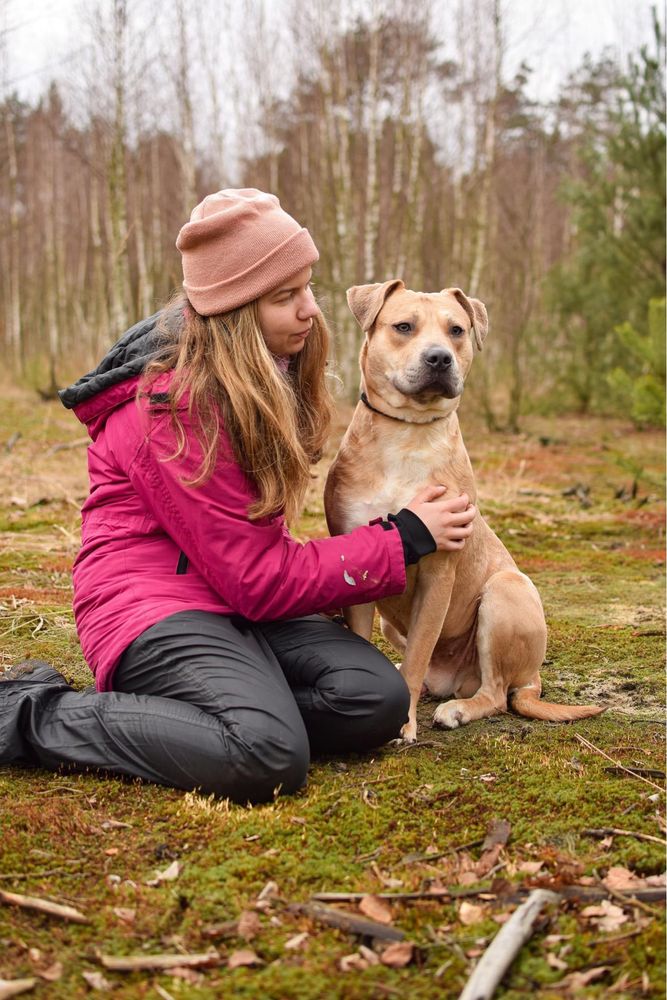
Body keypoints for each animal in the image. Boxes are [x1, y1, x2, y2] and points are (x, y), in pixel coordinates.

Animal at [324, 282, 604, 744]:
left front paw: (403, 722)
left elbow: (418, 656)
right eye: (404, 326)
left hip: (505, 592)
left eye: (456, 330)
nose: (439, 357)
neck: (406, 433)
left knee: (495, 694)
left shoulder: (438, 574)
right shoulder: (357, 568)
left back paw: (457, 709)